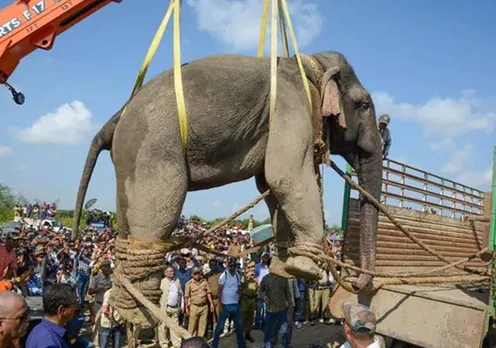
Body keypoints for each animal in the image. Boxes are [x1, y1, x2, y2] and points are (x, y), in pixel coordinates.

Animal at [71, 49, 382, 320]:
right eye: (364, 105)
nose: (357, 284)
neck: (308, 62)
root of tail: (115, 118)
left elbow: (268, 183)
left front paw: (284, 266)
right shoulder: (294, 106)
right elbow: (285, 175)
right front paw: (305, 269)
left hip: (128, 161)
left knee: (127, 220)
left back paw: (128, 309)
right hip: (152, 147)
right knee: (158, 213)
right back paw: (141, 313)